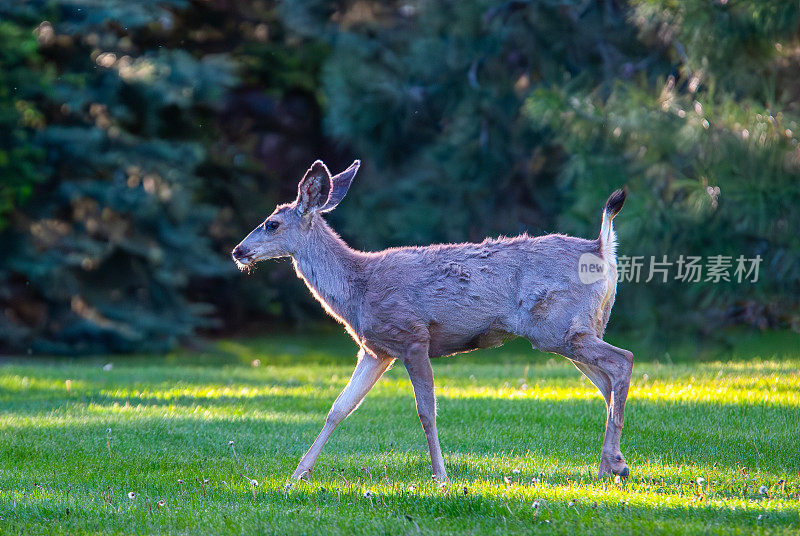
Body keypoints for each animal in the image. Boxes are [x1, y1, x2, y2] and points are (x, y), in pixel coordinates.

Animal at [231, 159, 632, 486]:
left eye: (271, 224)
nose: (238, 250)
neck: (358, 289)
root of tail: (601, 249)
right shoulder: (375, 350)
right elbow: (339, 408)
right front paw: (299, 473)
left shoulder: (412, 336)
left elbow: (427, 412)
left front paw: (440, 475)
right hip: (574, 328)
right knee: (605, 380)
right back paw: (611, 465)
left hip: (558, 326)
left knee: (622, 361)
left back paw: (612, 463)